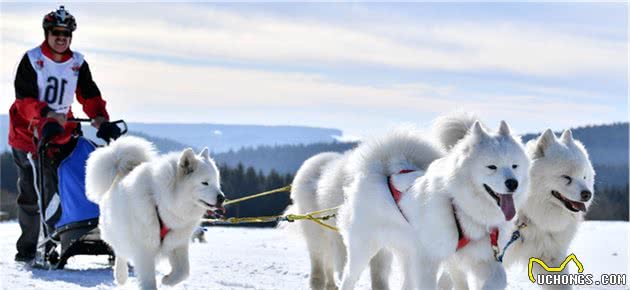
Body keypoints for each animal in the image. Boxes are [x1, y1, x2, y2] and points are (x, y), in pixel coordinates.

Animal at [85, 137, 226, 290]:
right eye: (204, 183)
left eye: (216, 182)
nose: (222, 198)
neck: (162, 203)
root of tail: (121, 172)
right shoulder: (145, 249)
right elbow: (149, 281)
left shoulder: (177, 242)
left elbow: (184, 271)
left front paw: (167, 279)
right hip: (117, 232)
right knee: (119, 252)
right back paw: (121, 276)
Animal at [338, 119, 532, 288]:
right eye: (492, 167)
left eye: (514, 166)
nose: (513, 183)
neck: (459, 206)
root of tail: (376, 171)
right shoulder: (429, 258)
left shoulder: (480, 256)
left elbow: (498, 278)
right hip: (363, 250)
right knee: (348, 278)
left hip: (407, 255)